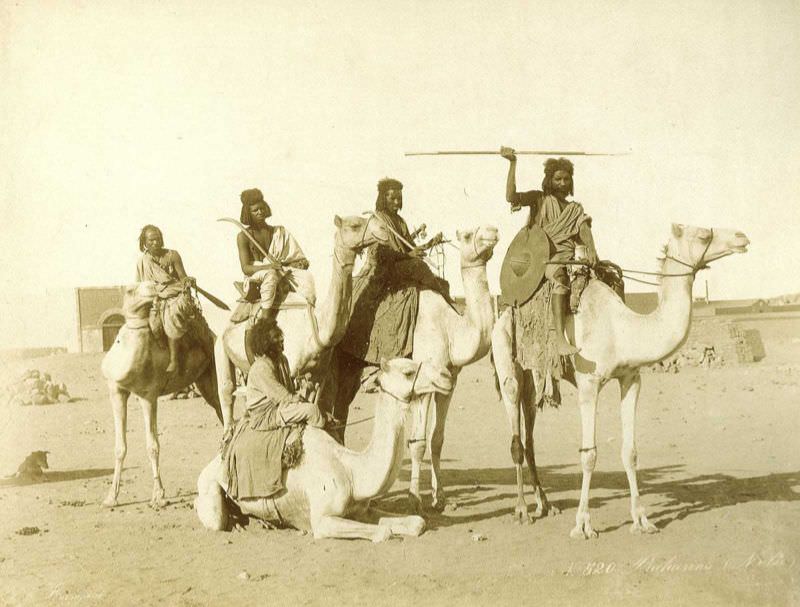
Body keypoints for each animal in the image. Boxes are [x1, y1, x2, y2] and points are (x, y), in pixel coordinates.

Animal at [102, 284, 225, 508]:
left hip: (213, 374)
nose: (153, 287)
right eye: (130, 291)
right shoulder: (116, 390)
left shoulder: (148, 394)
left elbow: (153, 446)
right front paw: (111, 498)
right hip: (202, 380)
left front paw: (158, 496)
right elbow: (119, 447)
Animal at [195, 356, 454, 540]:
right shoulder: (322, 521)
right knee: (214, 517)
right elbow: (383, 533)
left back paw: (260, 521)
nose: (446, 375)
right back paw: (239, 522)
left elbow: (417, 523)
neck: (353, 472)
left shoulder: (363, 510)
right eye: (408, 372)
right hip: (210, 487)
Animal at [212, 215, 388, 432]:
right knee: (226, 391)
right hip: (220, 347)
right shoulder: (292, 372)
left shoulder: (318, 376)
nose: (383, 229)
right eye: (354, 225)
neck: (316, 332)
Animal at [324, 223, 500, 512]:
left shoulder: (448, 383)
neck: (451, 330)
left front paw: (440, 498)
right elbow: (417, 443)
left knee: (341, 414)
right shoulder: (421, 384)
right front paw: (415, 499)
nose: (493, 231)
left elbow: (437, 439)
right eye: (467, 235)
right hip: (336, 361)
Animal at [494, 223, 752, 536]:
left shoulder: (631, 379)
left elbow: (630, 452)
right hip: (507, 361)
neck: (623, 330)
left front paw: (642, 520)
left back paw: (544, 504)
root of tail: (504, 308)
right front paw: (583, 524)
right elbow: (589, 455)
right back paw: (521, 510)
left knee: (530, 436)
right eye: (703, 235)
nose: (741, 237)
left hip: (535, 375)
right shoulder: (588, 383)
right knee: (516, 437)